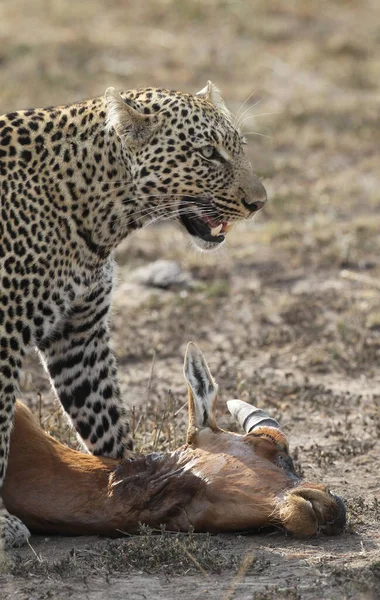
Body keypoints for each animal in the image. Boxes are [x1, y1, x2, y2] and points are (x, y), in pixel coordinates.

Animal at [0, 81, 268, 548]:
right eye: (208, 153)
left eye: (240, 148)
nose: (259, 203)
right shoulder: (3, 333)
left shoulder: (80, 334)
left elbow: (105, 420)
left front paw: (131, 487)